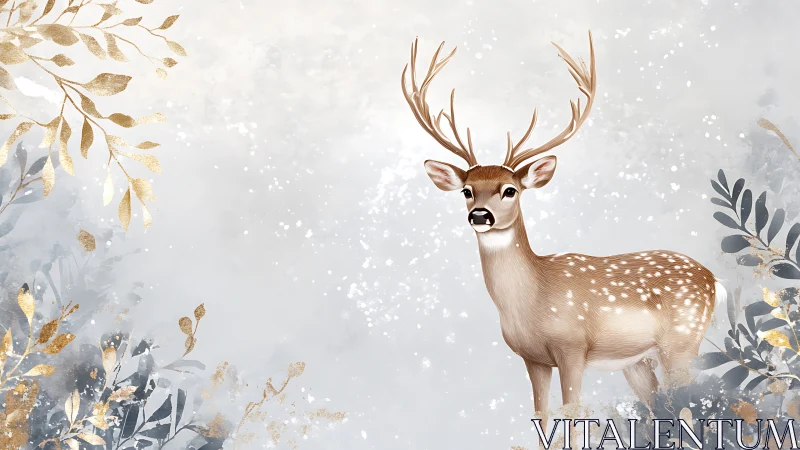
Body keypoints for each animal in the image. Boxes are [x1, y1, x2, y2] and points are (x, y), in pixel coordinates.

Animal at [400, 31, 725, 421]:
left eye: (510, 190)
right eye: (467, 190)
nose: (480, 215)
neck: (530, 301)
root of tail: (713, 280)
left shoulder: (572, 348)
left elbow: (571, 413)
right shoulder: (533, 359)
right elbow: (540, 415)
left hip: (681, 341)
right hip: (637, 361)